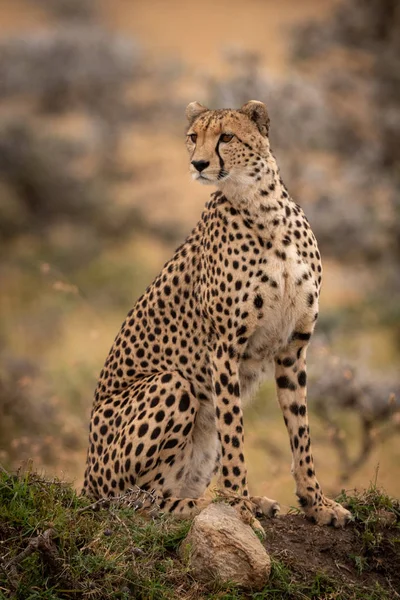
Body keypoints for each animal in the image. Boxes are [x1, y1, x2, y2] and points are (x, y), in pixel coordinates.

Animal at [83, 101, 352, 528]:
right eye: (194, 137)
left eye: (226, 137)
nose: (198, 163)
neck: (263, 209)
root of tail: (86, 483)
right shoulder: (223, 348)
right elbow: (234, 431)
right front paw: (239, 507)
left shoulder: (294, 347)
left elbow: (301, 430)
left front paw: (317, 503)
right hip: (170, 387)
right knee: (137, 502)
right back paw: (210, 505)